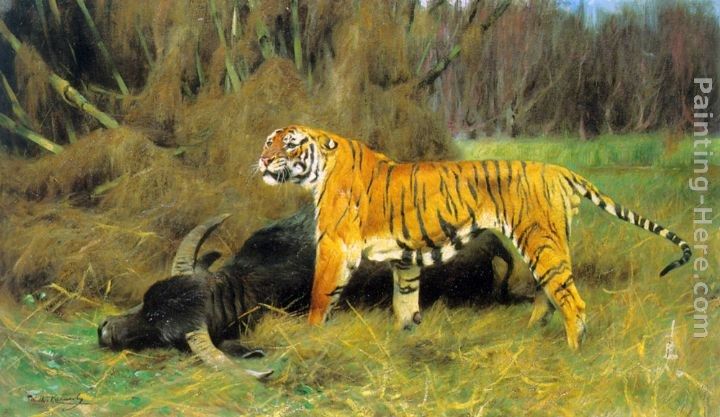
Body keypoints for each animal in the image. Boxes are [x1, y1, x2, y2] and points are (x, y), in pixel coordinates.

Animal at [257, 125, 691, 349]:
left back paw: (573, 350)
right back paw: (532, 332)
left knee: (572, 300)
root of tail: (557, 169)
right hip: (548, 244)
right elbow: (405, 299)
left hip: (540, 242)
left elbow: (320, 295)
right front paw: (405, 335)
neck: (320, 169)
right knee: (550, 294)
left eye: (290, 144)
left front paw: (311, 336)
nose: (262, 160)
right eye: (268, 141)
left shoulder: (334, 246)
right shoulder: (403, 258)